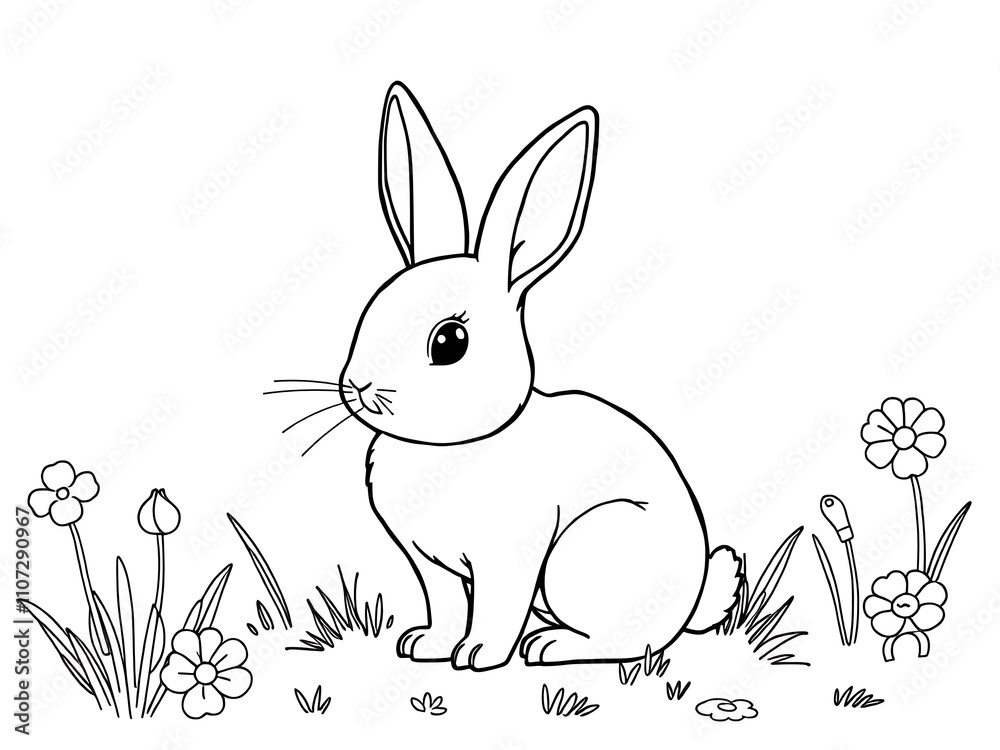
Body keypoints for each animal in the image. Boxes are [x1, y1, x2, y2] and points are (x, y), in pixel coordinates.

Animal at [337, 82, 740, 671]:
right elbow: (445, 604)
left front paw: (477, 655)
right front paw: (424, 646)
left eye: (449, 342)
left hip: (584, 555)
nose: (359, 389)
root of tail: (692, 600)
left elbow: (496, 609)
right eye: (369, 311)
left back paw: (549, 647)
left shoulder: (509, 559)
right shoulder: (431, 567)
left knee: (628, 641)